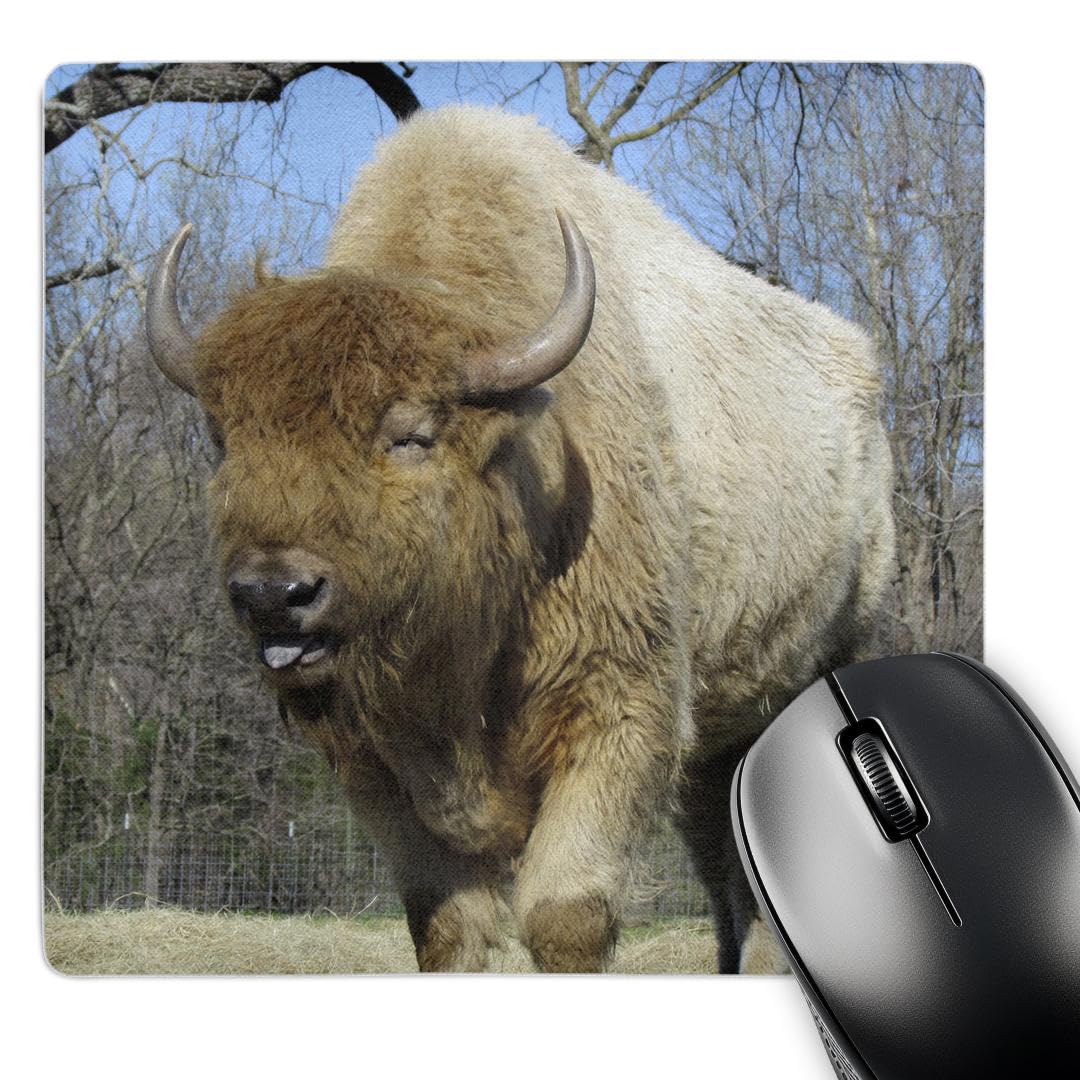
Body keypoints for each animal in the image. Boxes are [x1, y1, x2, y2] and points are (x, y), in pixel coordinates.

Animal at [145, 105, 895, 972]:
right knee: (722, 869)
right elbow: (446, 927)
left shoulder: (617, 714)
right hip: (720, 740)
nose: (274, 592)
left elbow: (565, 917)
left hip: (811, 675)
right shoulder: (376, 767)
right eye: (225, 439)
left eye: (410, 434)